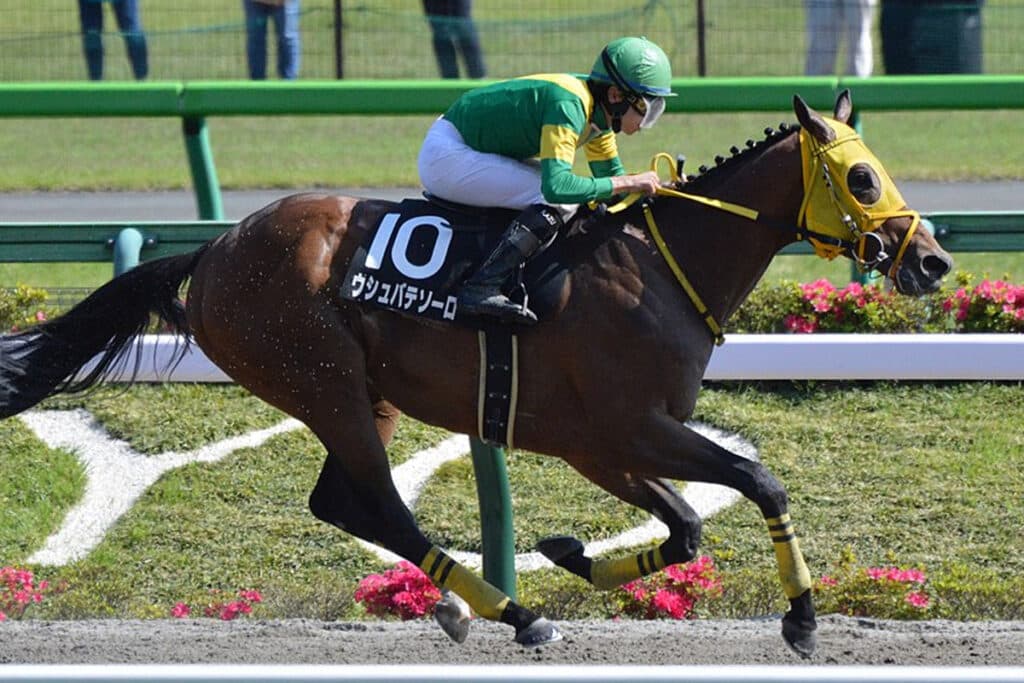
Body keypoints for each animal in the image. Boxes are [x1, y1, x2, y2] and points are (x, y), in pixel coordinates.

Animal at [0, 91, 952, 657]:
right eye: (862, 177)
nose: (933, 260)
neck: (657, 266)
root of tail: (215, 249)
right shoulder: (629, 428)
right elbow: (758, 479)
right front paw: (802, 617)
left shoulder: (602, 444)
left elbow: (685, 528)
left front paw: (569, 552)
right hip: (322, 379)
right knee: (376, 504)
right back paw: (512, 613)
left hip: (362, 392)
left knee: (342, 501)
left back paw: (473, 603)